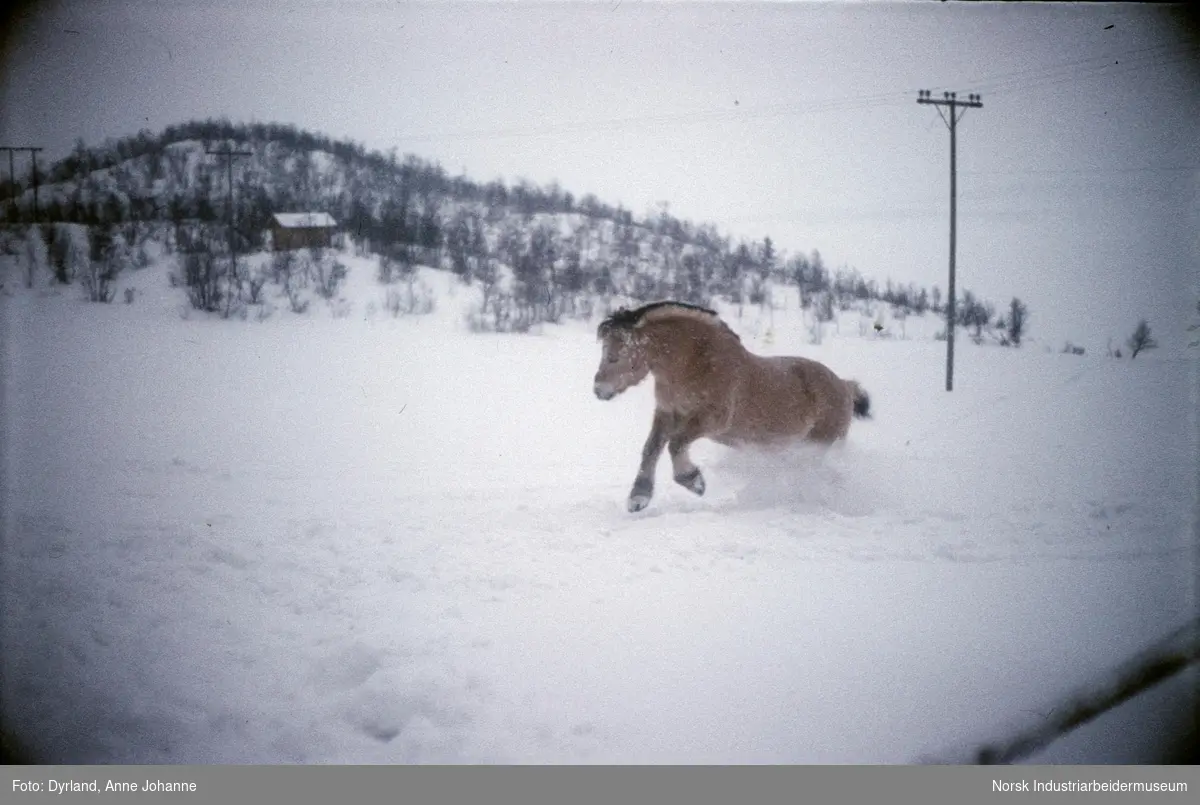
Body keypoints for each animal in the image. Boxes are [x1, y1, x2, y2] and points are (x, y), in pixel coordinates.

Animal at [592, 298, 868, 513]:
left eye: (614, 355)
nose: (599, 390)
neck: (695, 363)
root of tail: (845, 386)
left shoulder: (711, 420)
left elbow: (676, 444)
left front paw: (694, 481)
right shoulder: (667, 413)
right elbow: (651, 449)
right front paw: (638, 498)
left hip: (816, 446)